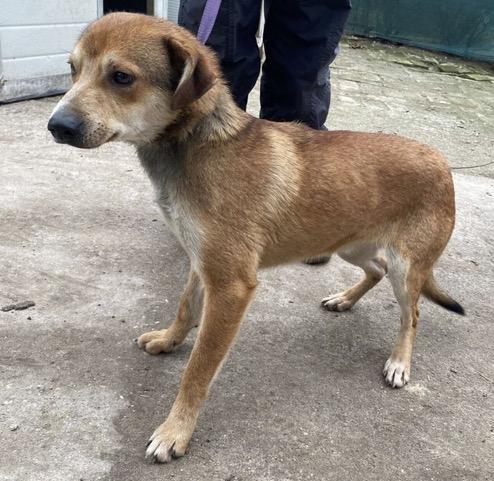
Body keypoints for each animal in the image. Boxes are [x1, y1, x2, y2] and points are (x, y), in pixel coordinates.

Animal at [47, 12, 464, 463]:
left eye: (121, 77)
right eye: (73, 69)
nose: (56, 126)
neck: (196, 144)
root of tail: (441, 160)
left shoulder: (230, 286)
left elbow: (197, 371)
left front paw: (176, 431)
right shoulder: (202, 262)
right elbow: (185, 307)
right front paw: (169, 340)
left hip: (407, 268)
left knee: (412, 313)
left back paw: (399, 361)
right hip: (349, 244)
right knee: (375, 269)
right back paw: (344, 299)